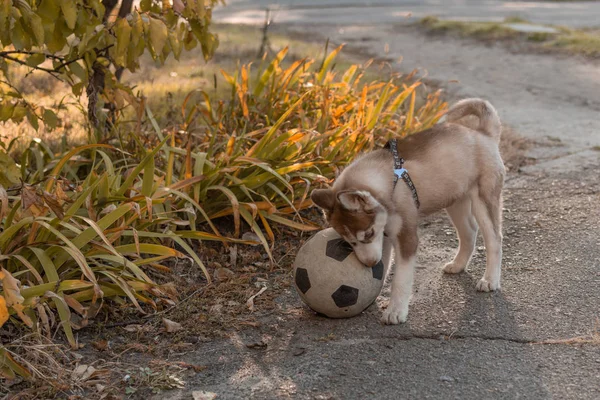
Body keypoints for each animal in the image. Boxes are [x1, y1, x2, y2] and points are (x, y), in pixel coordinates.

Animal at [312, 97, 504, 324]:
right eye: (349, 242)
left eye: (367, 234)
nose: (369, 264)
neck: (389, 181)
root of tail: (483, 134)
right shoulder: (385, 234)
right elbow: (385, 263)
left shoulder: (406, 237)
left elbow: (401, 280)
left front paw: (395, 310)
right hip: (455, 201)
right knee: (469, 232)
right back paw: (458, 264)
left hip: (484, 199)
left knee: (494, 239)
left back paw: (490, 279)